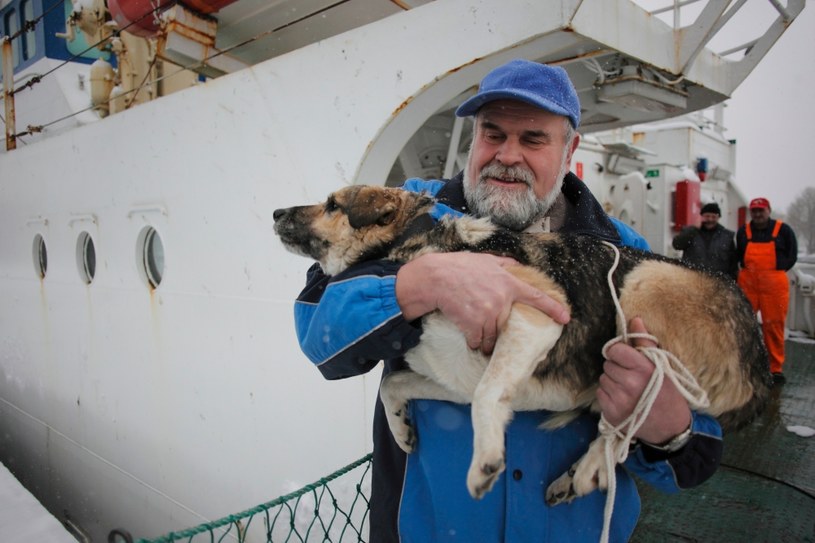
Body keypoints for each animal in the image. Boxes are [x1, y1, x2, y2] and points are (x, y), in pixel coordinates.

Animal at [274, 186, 772, 506]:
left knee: (635, 409)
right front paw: (401, 431)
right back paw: (577, 475)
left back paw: (587, 470)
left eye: (333, 204)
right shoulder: (454, 379)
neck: (410, 248)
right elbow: (394, 384)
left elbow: (487, 395)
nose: (276, 212)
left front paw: (485, 460)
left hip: (644, 285)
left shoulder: (537, 315)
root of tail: (761, 365)